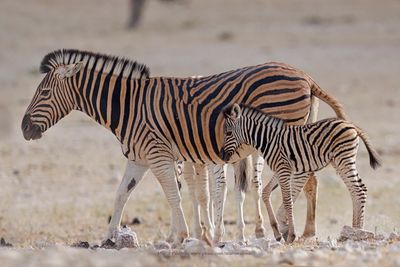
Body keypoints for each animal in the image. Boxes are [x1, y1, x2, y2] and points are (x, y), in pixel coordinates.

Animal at [21, 49, 346, 246]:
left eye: (44, 92)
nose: (24, 129)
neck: (129, 107)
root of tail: (305, 76)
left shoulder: (159, 155)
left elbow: (173, 196)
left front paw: (181, 236)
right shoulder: (139, 159)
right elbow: (121, 194)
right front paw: (110, 238)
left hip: (283, 135)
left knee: (296, 180)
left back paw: (287, 228)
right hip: (301, 134)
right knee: (310, 181)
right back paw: (305, 231)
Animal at [222, 104, 382, 245]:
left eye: (228, 133)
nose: (222, 155)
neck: (268, 139)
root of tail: (351, 125)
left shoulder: (283, 169)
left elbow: (287, 200)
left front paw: (291, 235)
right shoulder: (281, 169)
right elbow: (266, 192)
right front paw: (278, 233)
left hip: (344, 159)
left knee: (358, 190)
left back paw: (357, 232)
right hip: (339, 162)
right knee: (356, 189)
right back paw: (355, 230)